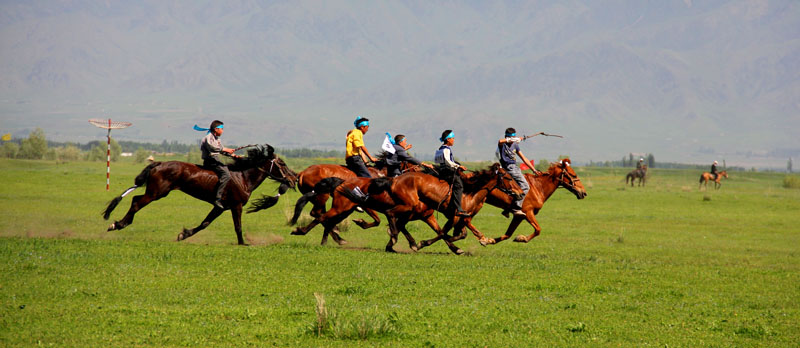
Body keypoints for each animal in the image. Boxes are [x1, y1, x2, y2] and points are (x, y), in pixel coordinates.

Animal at [102, 144, 296, 245]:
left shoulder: (220, 207)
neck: (243, 177)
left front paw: (184, 234)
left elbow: (205, 223)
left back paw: (120, 224)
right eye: (282, 163)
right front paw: (243, 243)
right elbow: (238, 226)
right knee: (136, 202)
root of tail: (159, 163)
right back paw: (117, 224)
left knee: (135, 199)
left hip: (156, 192)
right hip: (156, 193)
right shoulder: (236, 206)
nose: (293, 178)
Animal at [438, 158, 588, 245]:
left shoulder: (518, 216)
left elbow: (508, 234)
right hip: (477, 204)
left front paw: (492, 240)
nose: (584, 192)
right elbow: (538, 229)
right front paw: (522, 238)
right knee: (466, 219)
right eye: (573, 174)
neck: (538, 187)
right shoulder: (528, 212)